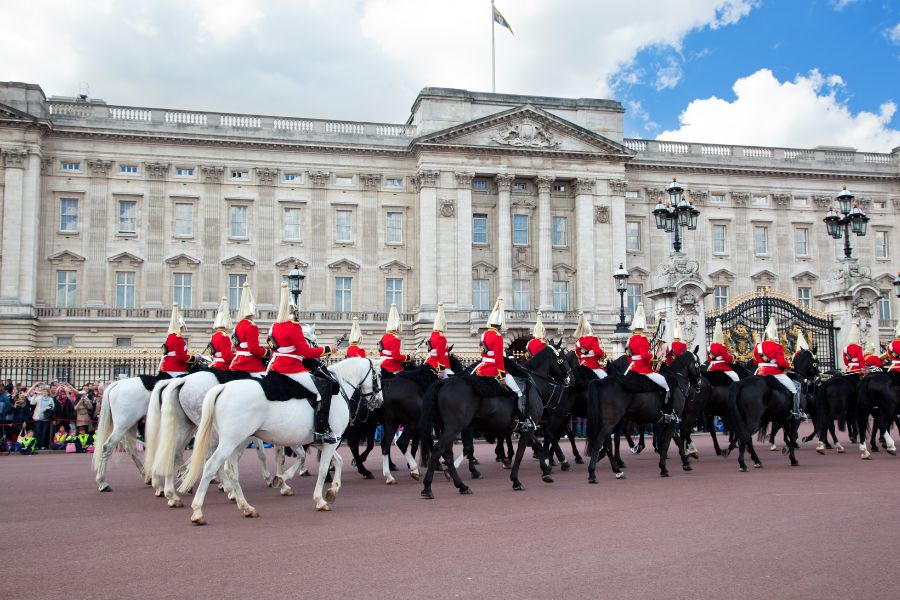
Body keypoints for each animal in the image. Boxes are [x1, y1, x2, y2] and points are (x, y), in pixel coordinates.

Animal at [181, 358, 382, 524]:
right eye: (379, 376)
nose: (379, 401)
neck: (338, 389)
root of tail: (223, 387)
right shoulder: (331, 441)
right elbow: (323, 469)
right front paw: (319, 499)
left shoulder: (324, 440)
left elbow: (335, 462)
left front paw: (331, 490)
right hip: (230, 441)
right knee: (210, 466)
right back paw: (198, 511)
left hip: (238, 441)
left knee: (229, 469)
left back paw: (246, 506)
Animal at [584, 352, 704, 482]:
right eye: (697, 364)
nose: (699, 385)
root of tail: (600, 382)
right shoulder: (672, 421)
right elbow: (666, 443)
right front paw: (664, 468)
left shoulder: (669, 420)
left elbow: (676, 441)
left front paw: (686, 463)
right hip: (611, 422)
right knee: (599, 442)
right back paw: (592, 474)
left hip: (609, 422)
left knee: (608, 444)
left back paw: (617, 470)